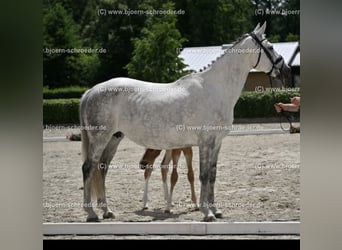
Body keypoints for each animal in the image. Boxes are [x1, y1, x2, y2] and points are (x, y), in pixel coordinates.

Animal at [79, 22, 290, 222]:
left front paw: (216, 210)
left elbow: (212, 175)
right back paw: (91, 213)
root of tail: (91, 91)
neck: (214, 88)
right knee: (88, 168)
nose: (285, 69)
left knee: (102, 168)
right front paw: (207, 213)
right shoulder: (206, 142)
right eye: (270, 47)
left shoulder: (217, 143)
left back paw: (107, 211)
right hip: (100, 138)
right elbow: (203, 175)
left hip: (114, 138)